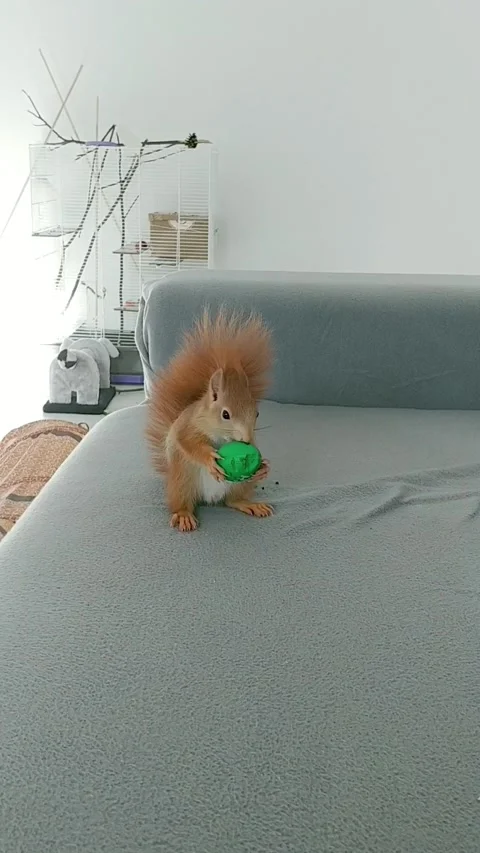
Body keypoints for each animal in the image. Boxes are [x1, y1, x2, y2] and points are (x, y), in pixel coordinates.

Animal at [146, 308, 274, 531]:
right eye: (225, 414)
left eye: (256, 414)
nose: (246, 441)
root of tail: (210, 498)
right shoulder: (187, 425)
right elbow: (187, 442)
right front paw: (209, 459)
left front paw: (263, 467)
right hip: (182, 482)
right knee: (181, 503)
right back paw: (183, 515)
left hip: (240, 485)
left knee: (232, 500)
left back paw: (250, 504)